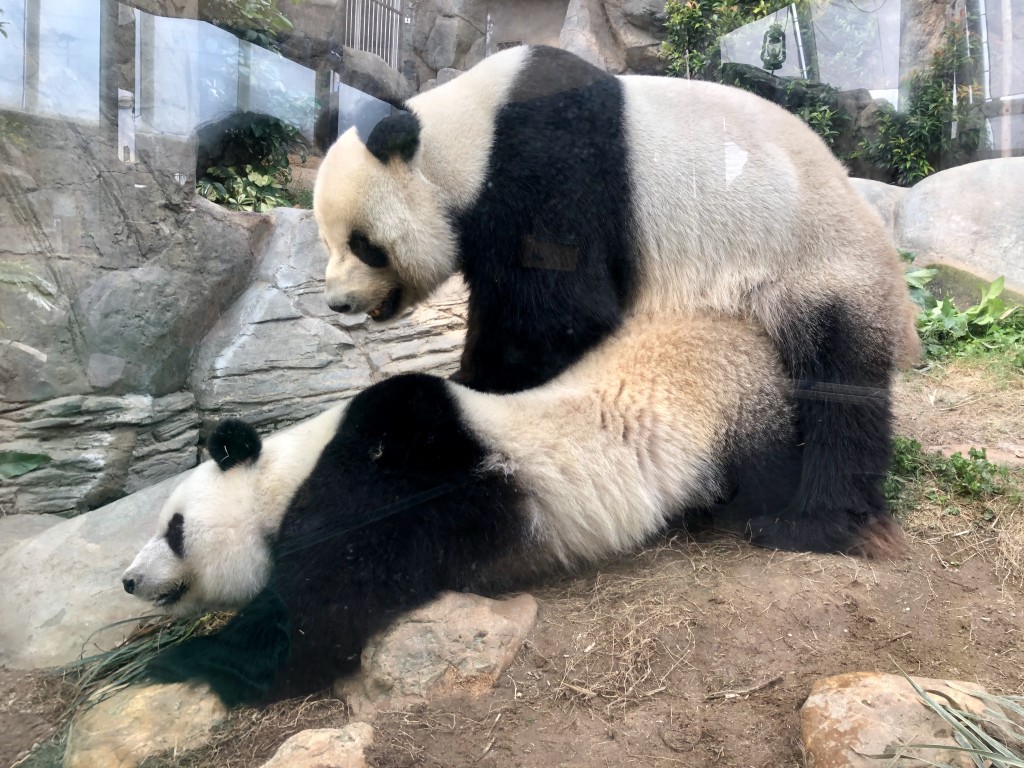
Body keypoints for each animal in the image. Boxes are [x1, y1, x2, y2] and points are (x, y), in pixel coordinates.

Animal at [121, 315, 905, 708]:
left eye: (173, 528)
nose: (128, 580)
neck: (288, 473)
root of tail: (749, 338)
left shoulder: (393, 472)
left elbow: (325, 609)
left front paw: (188, 663)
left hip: (731, 412)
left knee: (777, 471)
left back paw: (814, 520)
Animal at [313, 43, 921, 561]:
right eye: (326, 239)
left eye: (363, 244)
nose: (338, 303)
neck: (464, 141)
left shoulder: (549, 167)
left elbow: (560, 315)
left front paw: (476, 388)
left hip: (814, 265)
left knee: (840, 391)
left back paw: (812, 524)